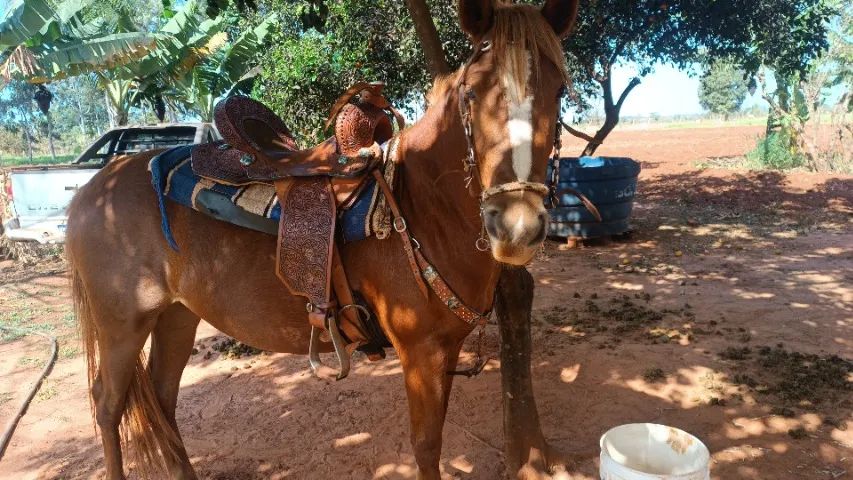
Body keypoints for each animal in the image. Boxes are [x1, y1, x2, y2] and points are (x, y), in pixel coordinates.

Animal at [65, 1, 579, 478]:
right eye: (472, 93)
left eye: (559, 90)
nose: (515, 228)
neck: (422, 205)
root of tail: (96, 186)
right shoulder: (421, 353)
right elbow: (426, 447)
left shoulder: (445, 349)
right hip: (122, 325)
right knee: (108, 405)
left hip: (176, 316)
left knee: (162, 399)